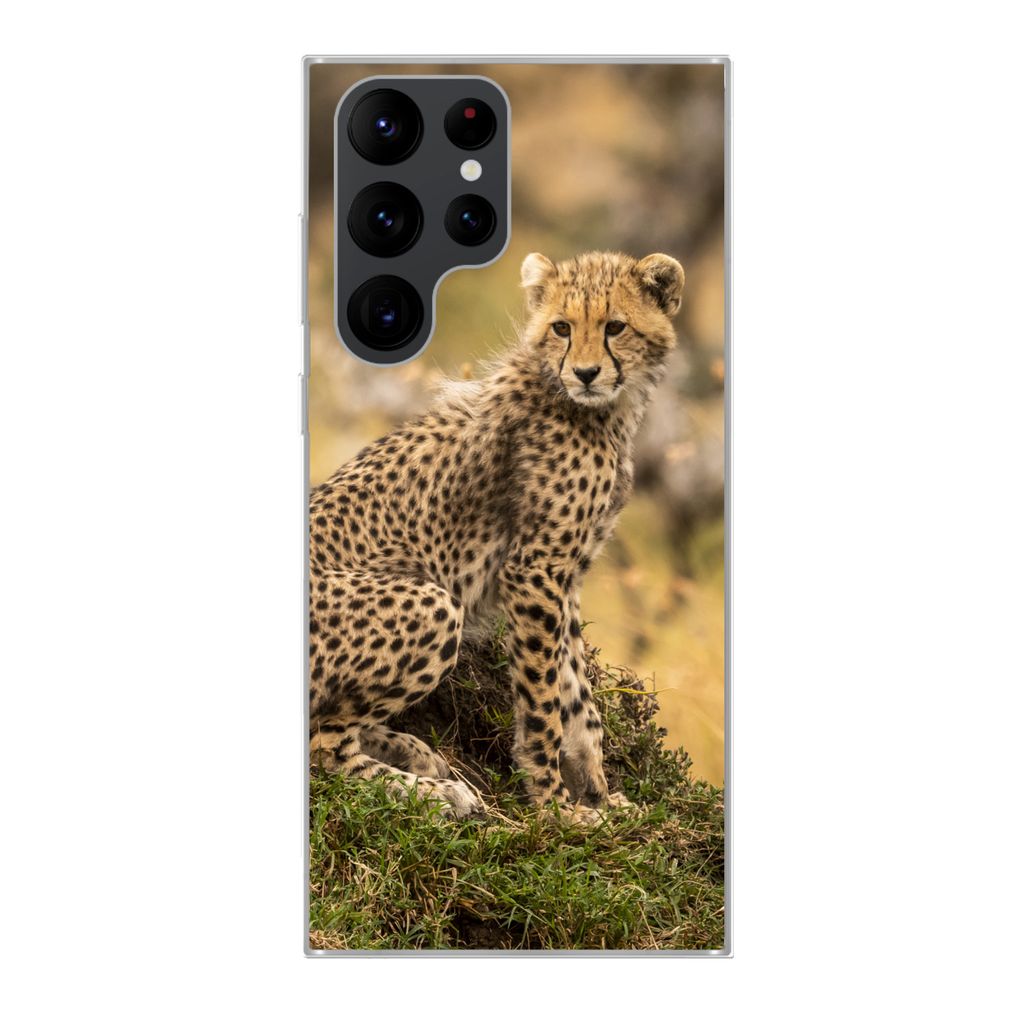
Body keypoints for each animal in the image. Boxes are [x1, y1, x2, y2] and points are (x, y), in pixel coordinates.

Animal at [309, 250, 685, 822]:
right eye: (562, 327)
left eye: (616, 327)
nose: (586, 373)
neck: (597, 409)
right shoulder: (534, 571)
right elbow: (544, 700)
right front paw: (556, 808)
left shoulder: (565, 576)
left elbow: (579, 696)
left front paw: (602, 794)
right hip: (433, 604)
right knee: (324, 746)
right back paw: (434, 792)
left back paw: (413, 751)